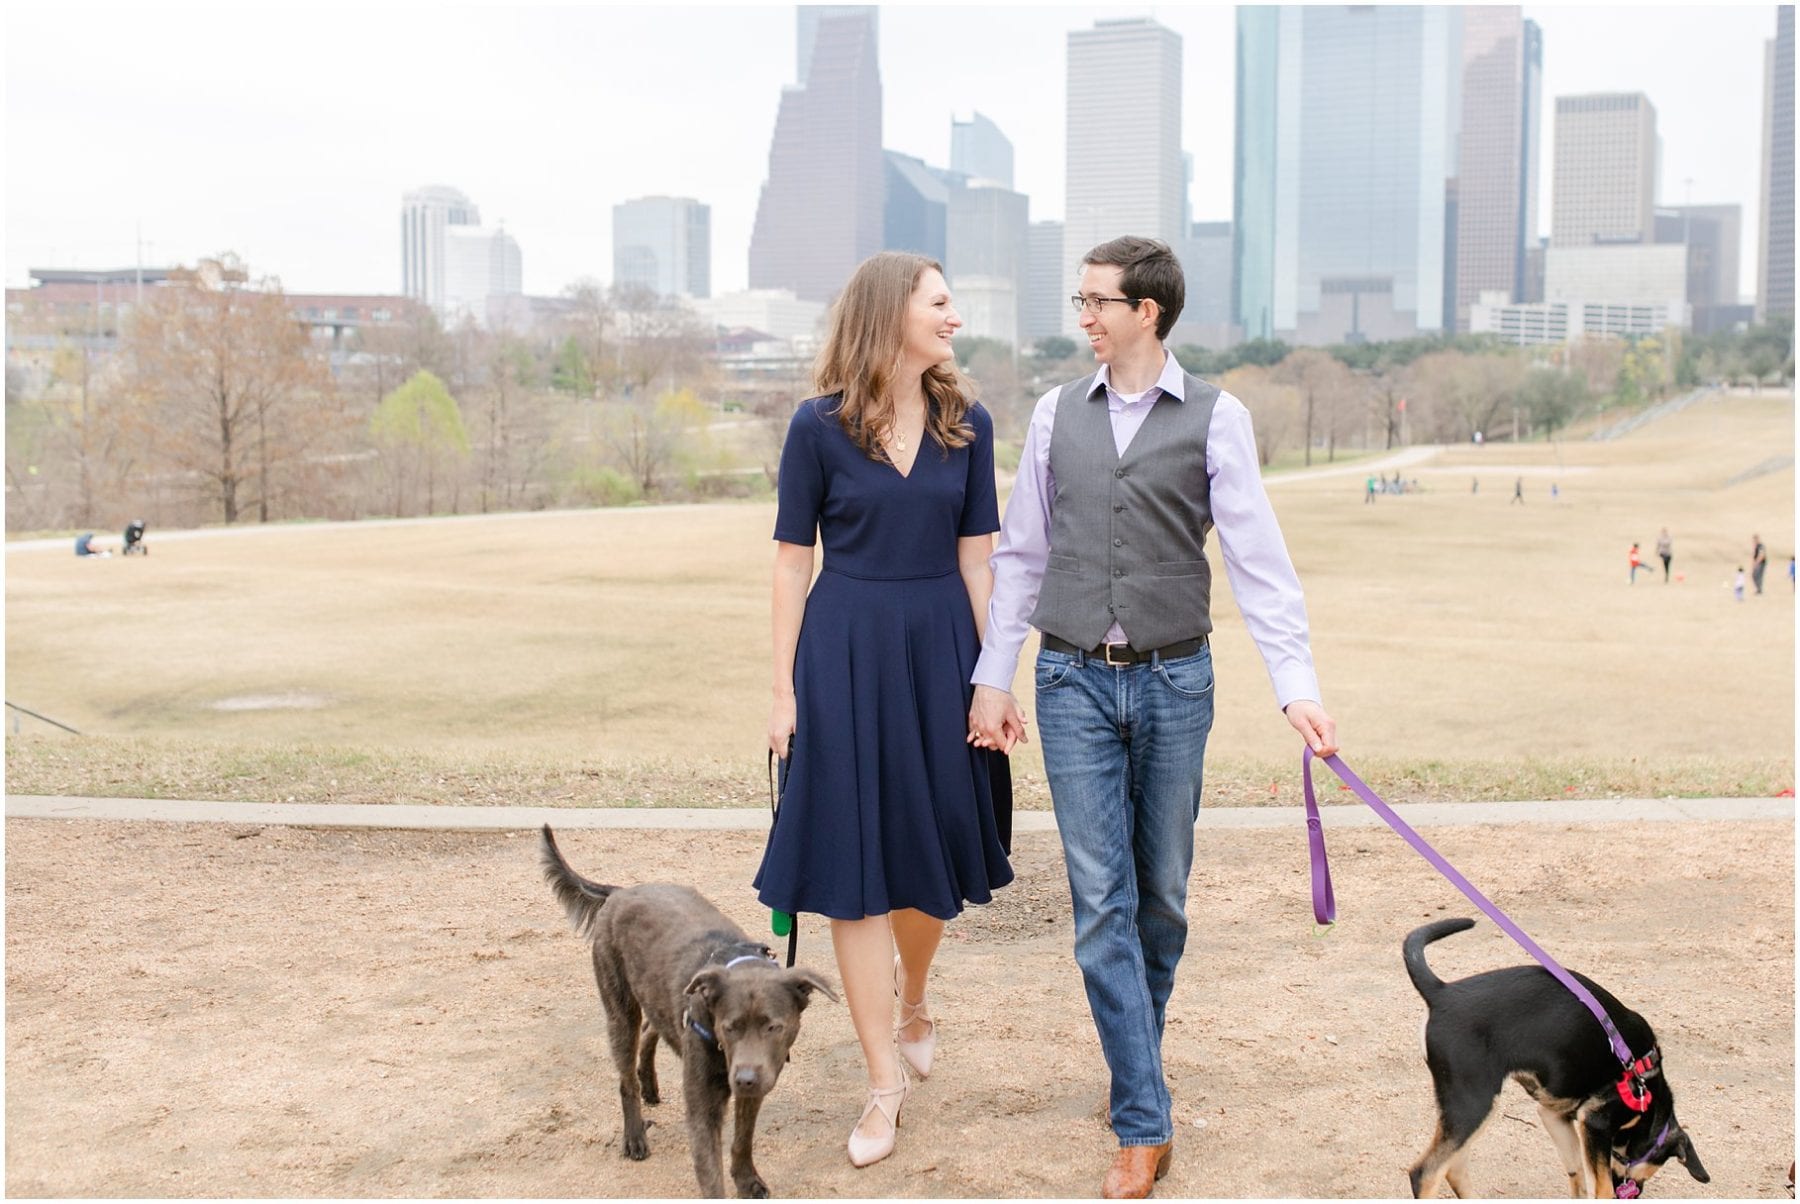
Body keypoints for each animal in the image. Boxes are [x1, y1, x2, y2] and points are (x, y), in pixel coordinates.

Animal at [540, 820, 835, 1195]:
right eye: (728, 1027)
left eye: (774, 1026)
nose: (745, 1079)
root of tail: (621, 892)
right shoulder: (702, 1108)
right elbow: (711, 1176)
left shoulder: (755, 1085)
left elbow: (743, 1140)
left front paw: (747, 1180)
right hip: (619, 1009)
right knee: (625, 1077)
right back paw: (634, 1135)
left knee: (651, 1030)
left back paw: (650, 1085)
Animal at [1396, 921, 1706, 1195]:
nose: (1634, 1191)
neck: (1648, 1088)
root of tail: (1441, 992)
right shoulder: (1595, 1122)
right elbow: (1603, 1189)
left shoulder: (1555, 1116)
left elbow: (1576, 1174)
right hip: (1474, 1104)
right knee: (1426, 1173)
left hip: (1465, 1112)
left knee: (1454, 1169)